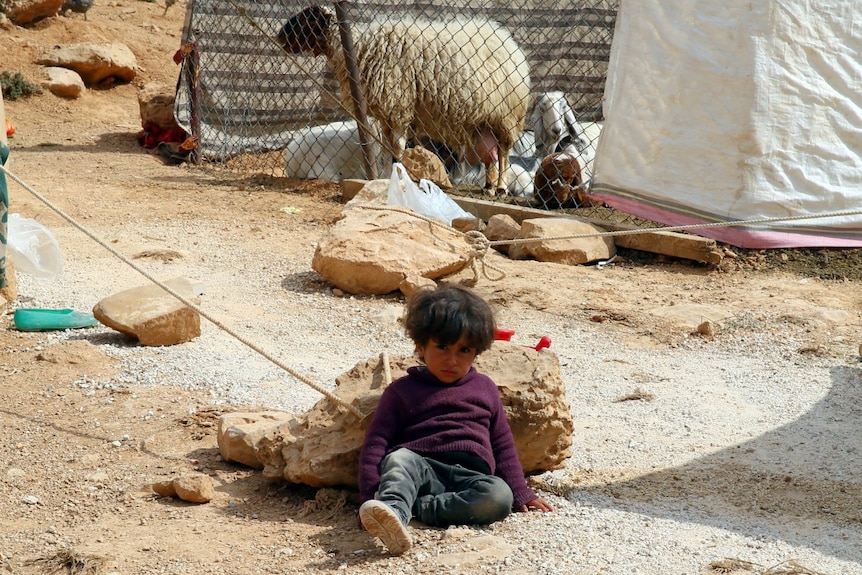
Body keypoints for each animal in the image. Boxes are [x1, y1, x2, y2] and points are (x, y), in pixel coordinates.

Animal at [278, 3, 532, 198]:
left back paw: (501, 188)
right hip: (484, 120)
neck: (358, 48)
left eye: (308, 21)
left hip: (506, 115)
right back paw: (488, 187)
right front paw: (386, 174)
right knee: (490, 156)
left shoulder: (399, 106)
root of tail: (509, 41)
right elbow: (385, 149)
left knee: (504, 153)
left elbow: (398, 147)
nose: (280, 38)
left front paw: (398, 172)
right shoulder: (386, 115)